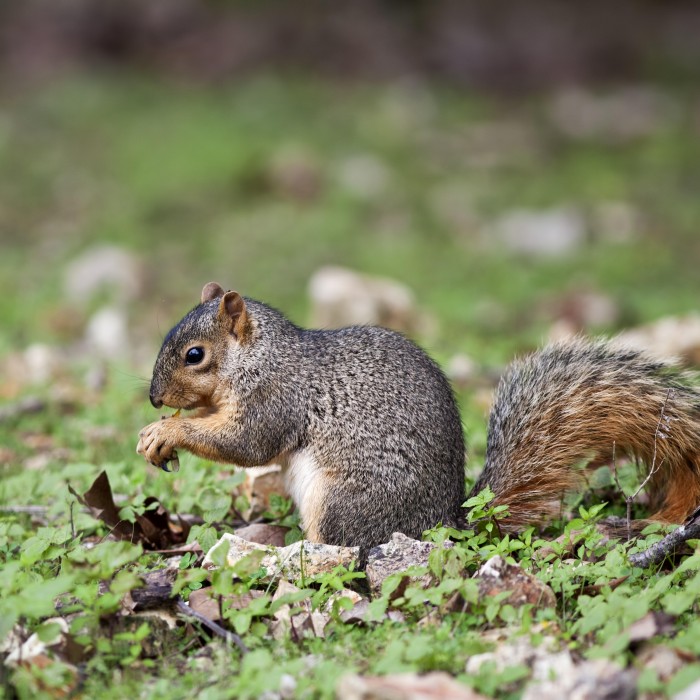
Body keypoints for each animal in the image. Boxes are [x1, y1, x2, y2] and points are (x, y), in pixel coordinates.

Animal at [137, 282, 700, 551]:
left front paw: (167, 431)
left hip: (344, 501)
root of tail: (444, 523)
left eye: (194, 355)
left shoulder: (276, 397)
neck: (258, 356)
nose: (155, 398)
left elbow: (248, 444)